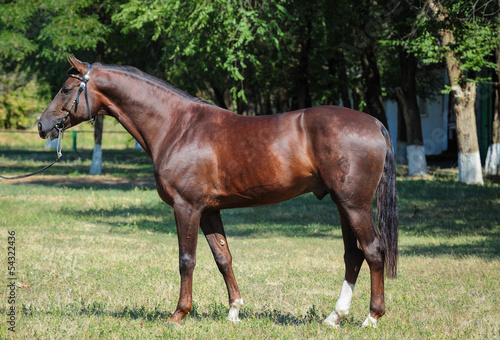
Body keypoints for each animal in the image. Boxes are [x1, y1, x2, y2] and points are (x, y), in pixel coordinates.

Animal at [38, 55, 398, 326]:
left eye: (66, 88)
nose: (42, 125)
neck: (177, 126)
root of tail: (375, 124)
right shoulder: (210, 210)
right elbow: (223, 257)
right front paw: (234, 311)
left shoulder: (187, 207)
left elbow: (187, 259)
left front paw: (178, 314)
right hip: (342, 205)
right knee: (353, 255)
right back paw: (334, 317)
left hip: (354, 206)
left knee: (373, 251)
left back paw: (371, 318)